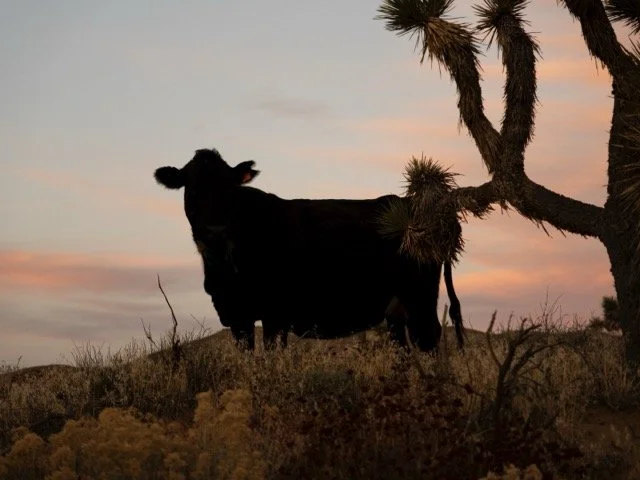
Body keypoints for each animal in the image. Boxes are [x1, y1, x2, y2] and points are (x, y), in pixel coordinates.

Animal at [154, 147, 464, 353]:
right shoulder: (236, 313)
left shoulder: (275, 312)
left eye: (230, 190)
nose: (215, 229)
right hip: (396, 309)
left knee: (429, 340)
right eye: (192, 189)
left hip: (419, 297)